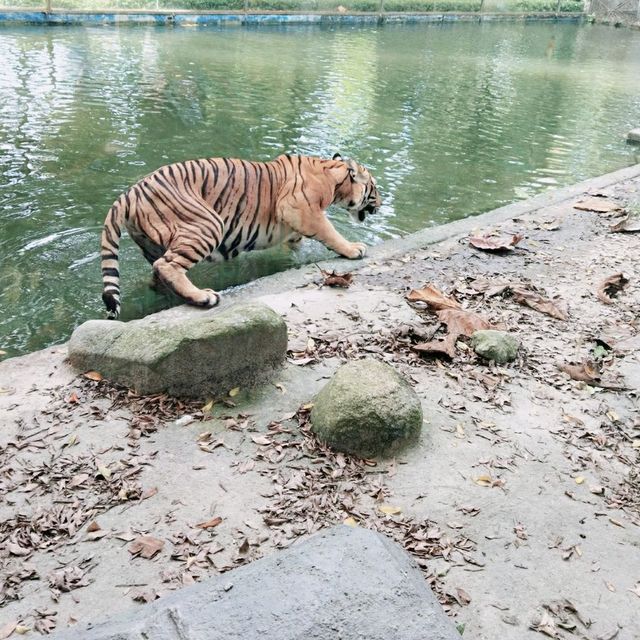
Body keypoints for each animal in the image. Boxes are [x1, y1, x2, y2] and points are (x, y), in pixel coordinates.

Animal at [100, 152, 380, 318]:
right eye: (374, 188)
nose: (380, 204)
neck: (332, 177)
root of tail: (131, 192)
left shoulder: (293, 225)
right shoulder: (299, 210)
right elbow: (330, 232)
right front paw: (354, 248)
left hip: (154, 242)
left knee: (159, 270)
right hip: (208, 224)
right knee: (167, 265)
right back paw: (204, 297)